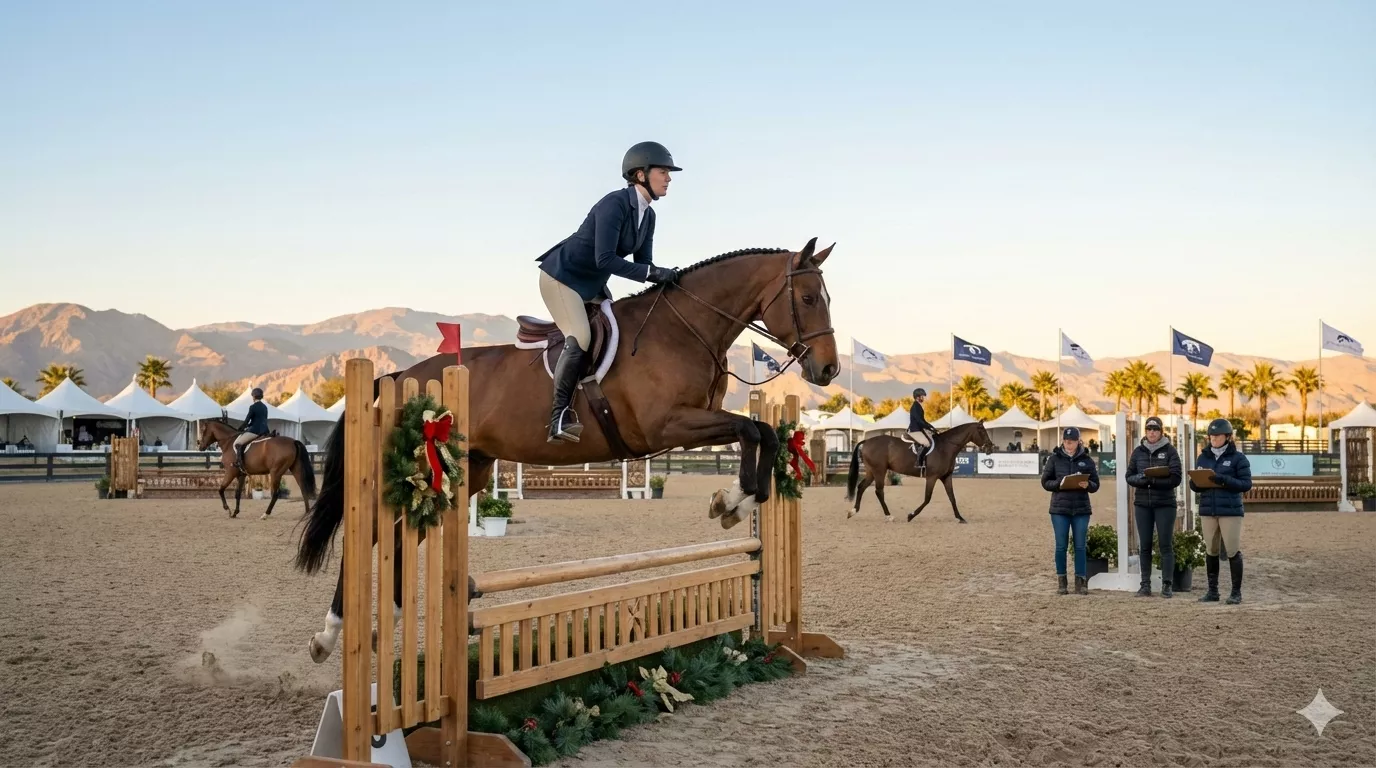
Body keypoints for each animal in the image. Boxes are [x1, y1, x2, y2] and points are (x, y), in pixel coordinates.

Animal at [294, 238, 841, 663]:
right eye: (808, 297)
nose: (828, 370)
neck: (685, 328)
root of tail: (399, 376)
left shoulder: (691, 425)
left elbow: (762, 433)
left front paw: (734, 503)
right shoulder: (667, 426)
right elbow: (752, 431)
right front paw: (731, 502)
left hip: (466, 471)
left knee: (401, 536)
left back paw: (386, 624)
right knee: (372, 534)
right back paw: (329, 636)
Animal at [845, 421, 996, 523]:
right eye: (982, 431)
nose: (990, 448)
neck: (946, 447)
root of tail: (866, 441)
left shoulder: (946, 477)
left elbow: (952, 497)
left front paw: (960, 517)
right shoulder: (932, 477)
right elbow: (927, 498)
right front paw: (911, 515)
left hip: (872, 472)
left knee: (861, 487)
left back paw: (853, 511)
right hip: (879, 471)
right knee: (879, 491)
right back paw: (889, 516)